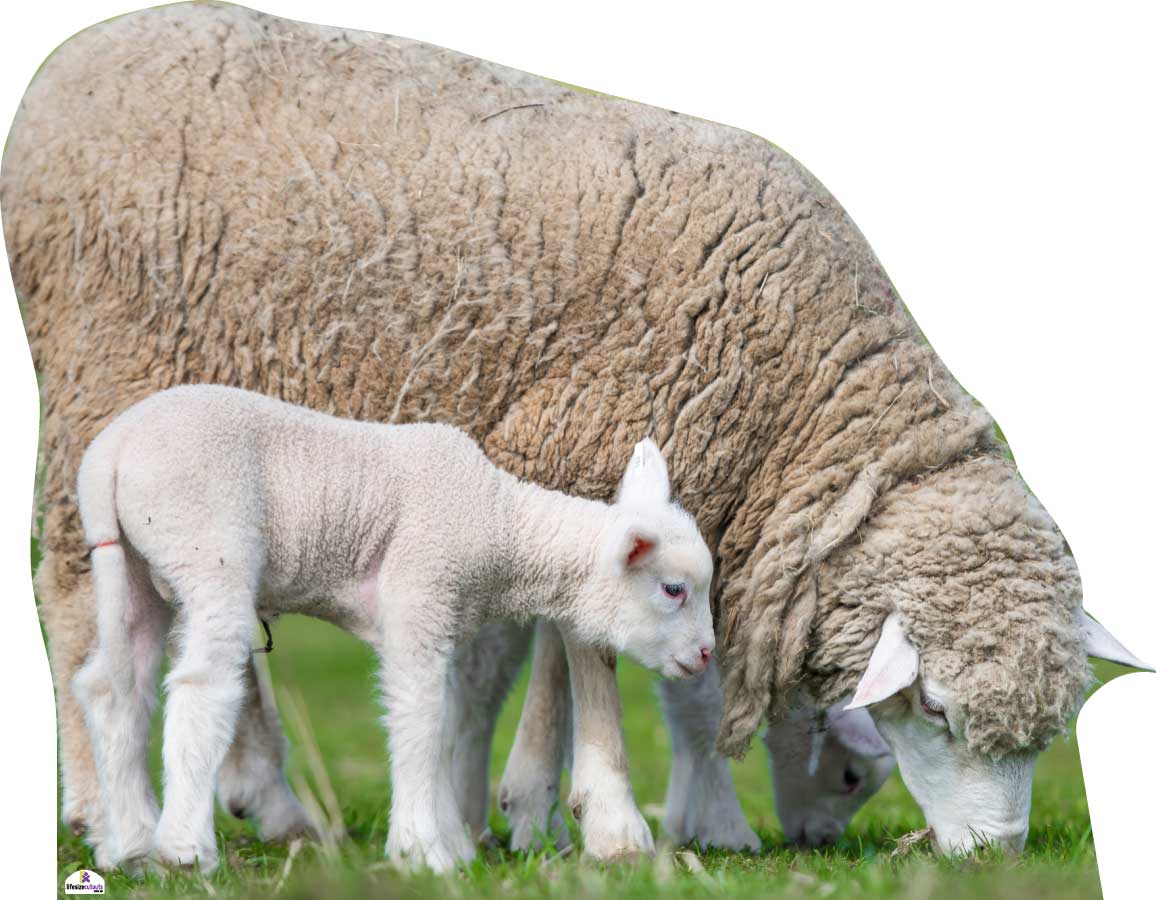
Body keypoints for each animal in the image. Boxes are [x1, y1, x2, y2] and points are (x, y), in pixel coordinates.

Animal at [71, 384, 715, 873]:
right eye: (673, 589)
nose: (707, 654)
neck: (498, 521)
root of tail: (110, 453)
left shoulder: (441, 617)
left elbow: (446, 716)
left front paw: (449, 840)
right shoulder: (418, 594)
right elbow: (419, 720)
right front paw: (423, 850)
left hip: (136, 565)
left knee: (112, 689)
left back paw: (130, 846)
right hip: (208, 546)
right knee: (200, 689)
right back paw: (184, 851)